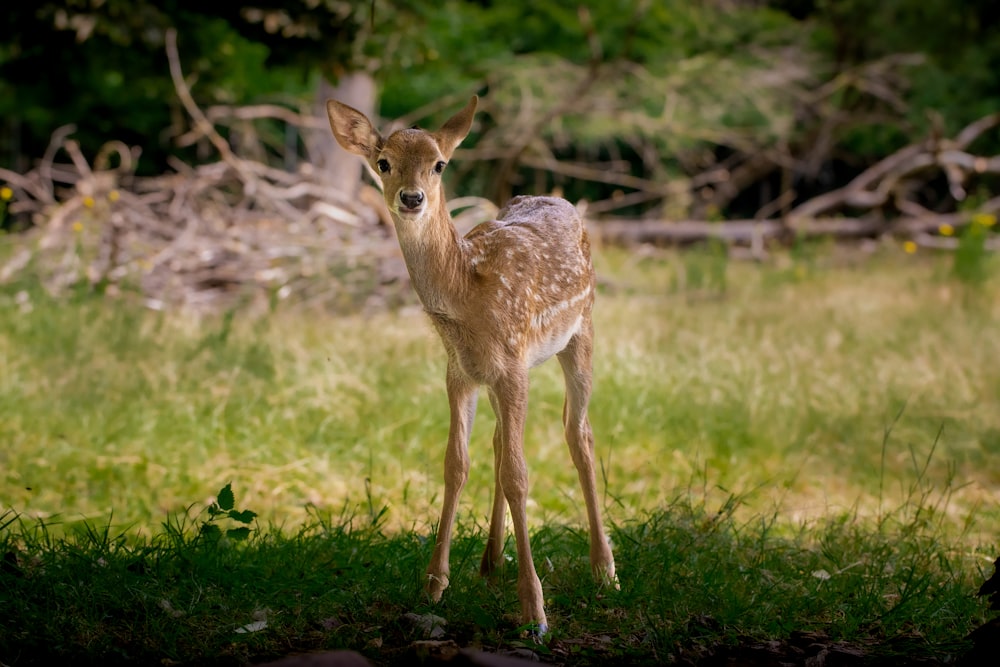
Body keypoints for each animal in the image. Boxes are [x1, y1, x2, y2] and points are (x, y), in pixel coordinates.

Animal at [328, 96, 612, 636]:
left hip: (583, 330)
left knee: (579, 433)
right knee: (503, 441)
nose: (412, 198)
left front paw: (535, 611)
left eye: (439, 163)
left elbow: (519, 474)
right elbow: (456, 464)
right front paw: (434, 584)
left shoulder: (512, 366)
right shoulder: (459, 371)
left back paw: (605, 569)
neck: (466, 292)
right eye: (383, 163)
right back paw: (490, 562)